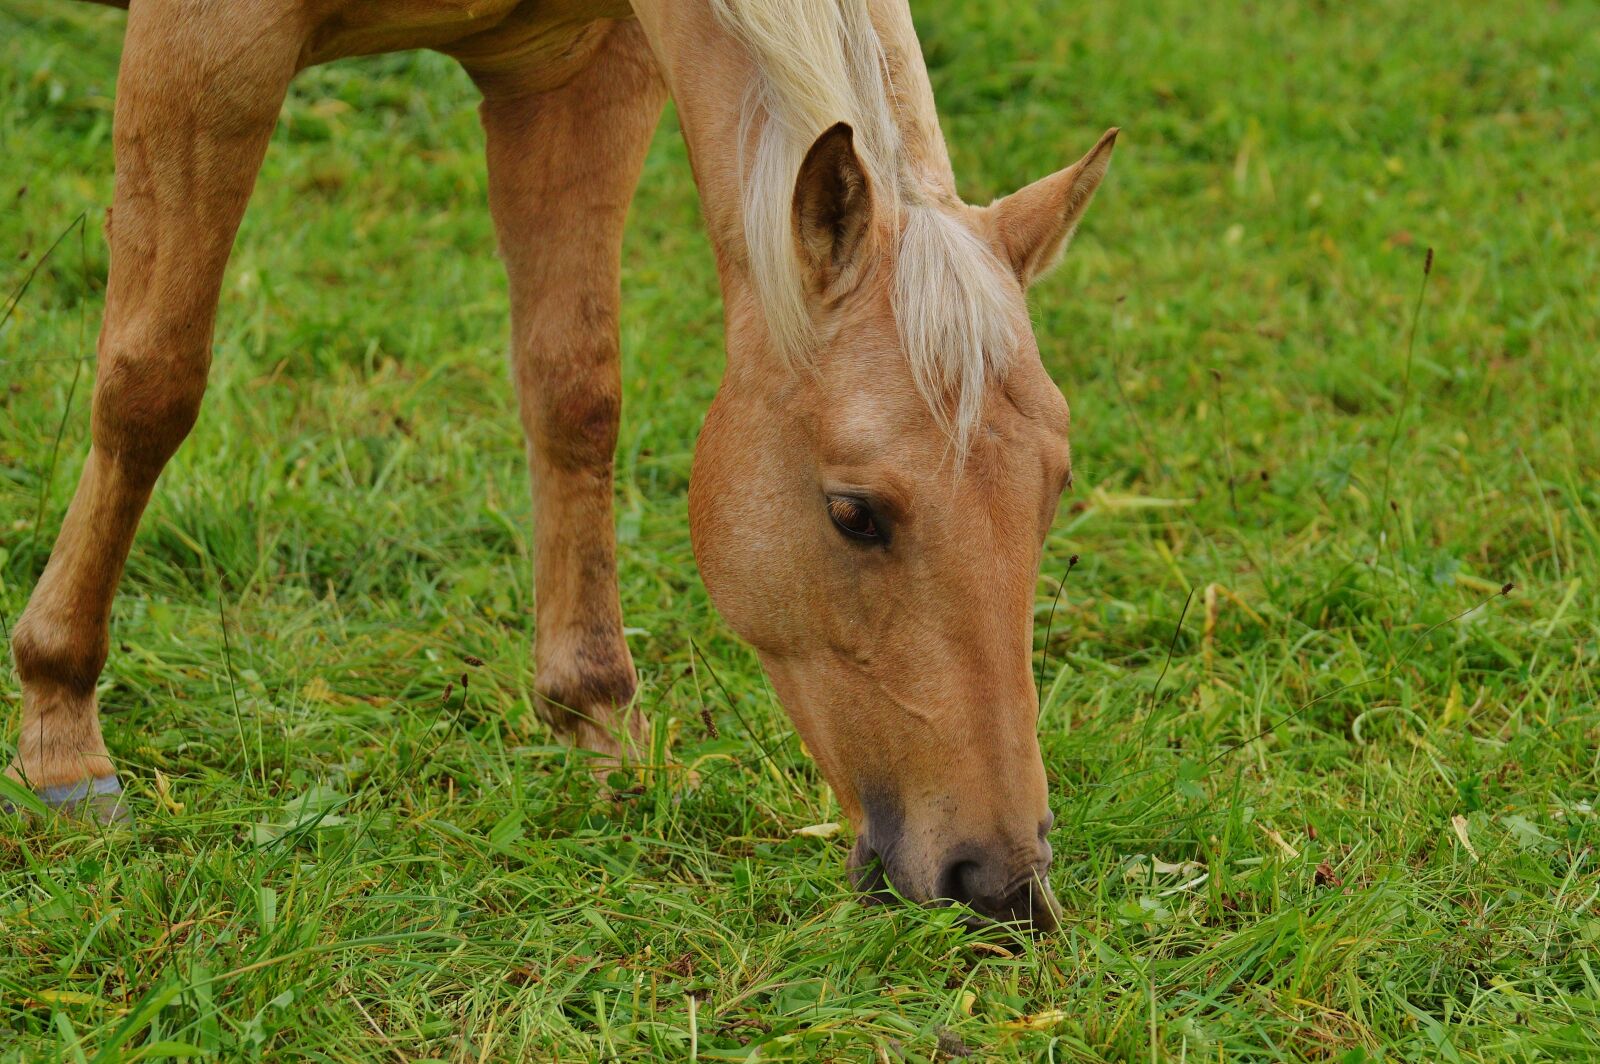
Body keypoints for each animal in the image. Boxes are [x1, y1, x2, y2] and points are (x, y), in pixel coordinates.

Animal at [7, 0, 1115, 931]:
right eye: (854, 512)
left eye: (1053, 490)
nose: (1002, 881)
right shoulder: (204, 54)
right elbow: (150, 386)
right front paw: (60, 731)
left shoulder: (572, 71)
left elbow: (575, 392)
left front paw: (599, 725)